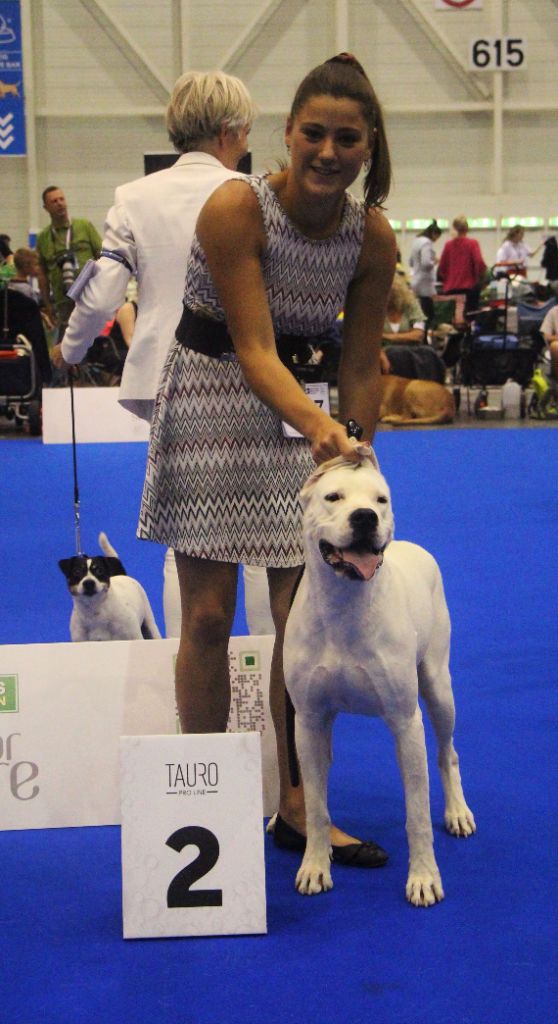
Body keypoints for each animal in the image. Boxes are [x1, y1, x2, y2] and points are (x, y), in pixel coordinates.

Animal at [283, 446, 475, 906]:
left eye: (380, 500)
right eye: (333, 497)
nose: (366, 517)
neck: (343, 602)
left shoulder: (406, 722)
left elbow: (417, 813)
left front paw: (423, 878)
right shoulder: (309, 721)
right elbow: (315, 806)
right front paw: (315, 867)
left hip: (438, 686)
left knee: (448, 751)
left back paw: (458, 812)